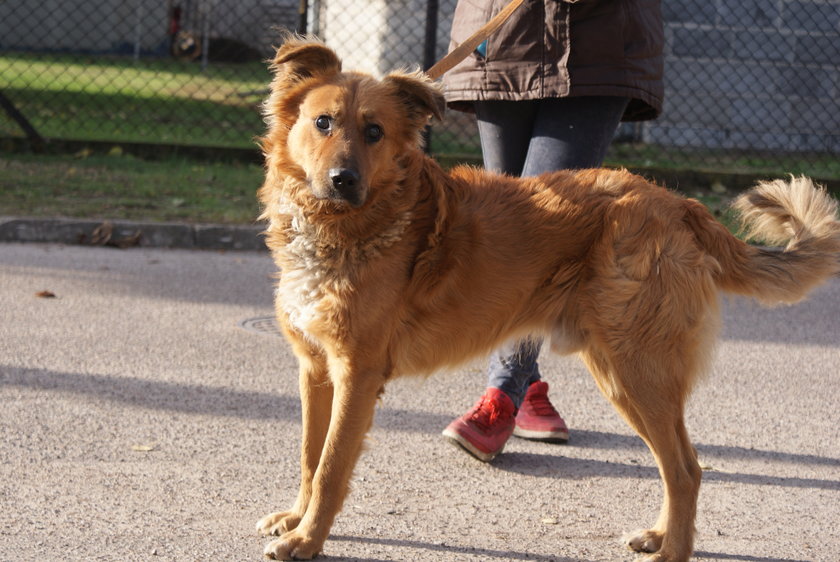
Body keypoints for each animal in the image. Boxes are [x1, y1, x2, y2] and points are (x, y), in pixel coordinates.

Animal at [256, 37, 840, 556]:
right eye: (323, 122)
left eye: (374, 131)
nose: (343, 179)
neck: (350, 223)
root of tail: (677, 203)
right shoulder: (316, 369)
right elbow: (309, 456)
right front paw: (296, 518)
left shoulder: (357, 374)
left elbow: (332, 466)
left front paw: (307, 540)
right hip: (622, 376)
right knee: (679, 465)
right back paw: (659, 534)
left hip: (639, 371)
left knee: (686, 469)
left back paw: (673, 551)